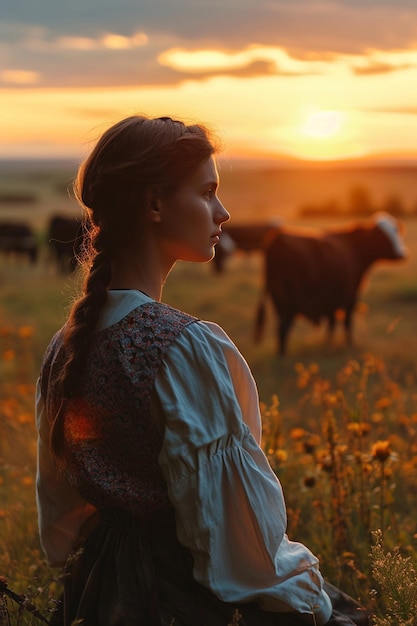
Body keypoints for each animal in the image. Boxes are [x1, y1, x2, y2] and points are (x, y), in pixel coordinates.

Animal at [254, 212, 406, 354]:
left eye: (396, 231)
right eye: (383, 236)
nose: (403, 253)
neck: (354, 248)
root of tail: (277, 238)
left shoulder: (331, 300)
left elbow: (331, 325)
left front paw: (328, 345)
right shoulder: (350, 297)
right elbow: (347, 323)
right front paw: (348, 344)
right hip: (286, 302)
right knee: (283, 329)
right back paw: (282, 357)